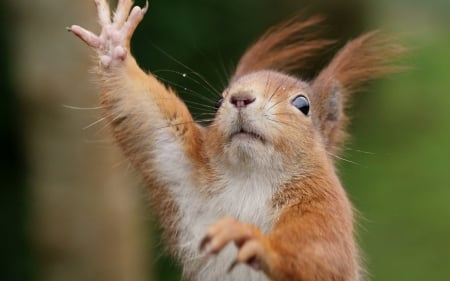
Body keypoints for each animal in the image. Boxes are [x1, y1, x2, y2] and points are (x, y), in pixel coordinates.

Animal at [68, 0, 400, 280]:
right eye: (219, 101)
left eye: (303, 105)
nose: (240, 98)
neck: (250, 176)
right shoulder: (179, 164)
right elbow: (144, 116)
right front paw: (114, 45)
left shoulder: (324, 207)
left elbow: (322, 258)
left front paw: (258, 243)